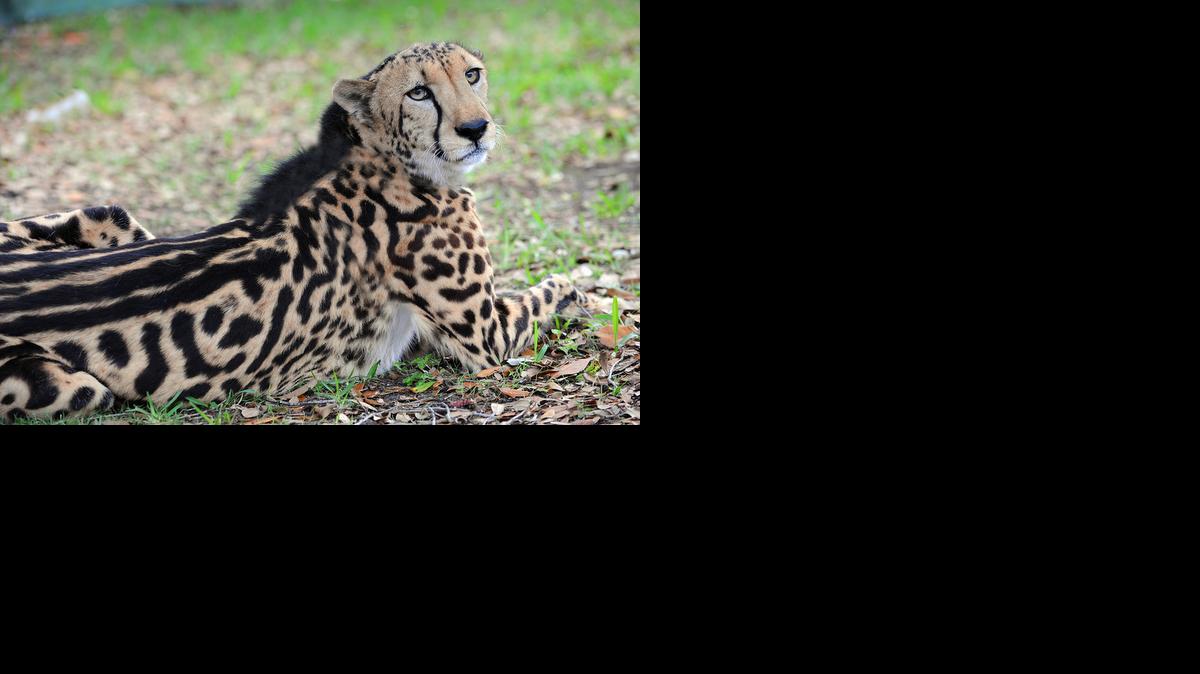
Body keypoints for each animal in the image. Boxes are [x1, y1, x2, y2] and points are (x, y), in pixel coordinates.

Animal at [0, 41, 581, 421]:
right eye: (419, 93)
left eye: (473, 75)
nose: (475, 129)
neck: (378, 154)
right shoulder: (489, 337)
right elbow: (559, 287)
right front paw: (584, 292)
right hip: (78, 387)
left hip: (110, 215)